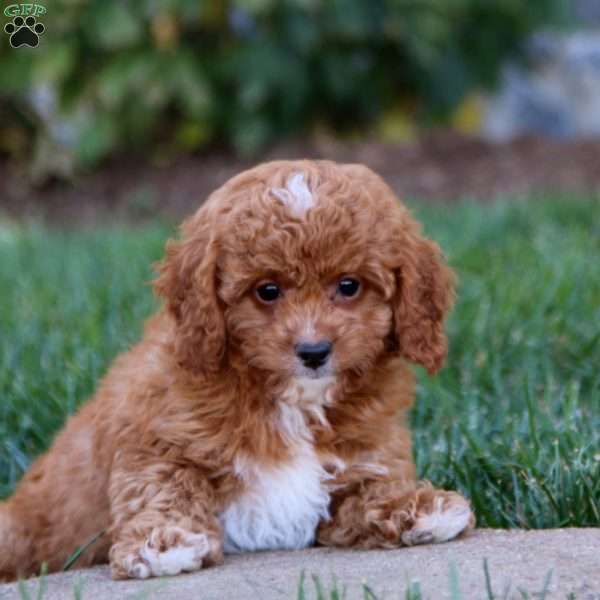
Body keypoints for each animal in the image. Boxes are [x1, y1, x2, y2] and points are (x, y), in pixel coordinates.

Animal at [0, 161, 474, 580]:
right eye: (267, 291)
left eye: (349, 285)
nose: (314, 351)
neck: (292, 400)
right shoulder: (152, 439)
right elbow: (163, 484)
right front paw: (165, 542)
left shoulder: (364, 456)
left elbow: (367, 490)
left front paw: (417, 506)